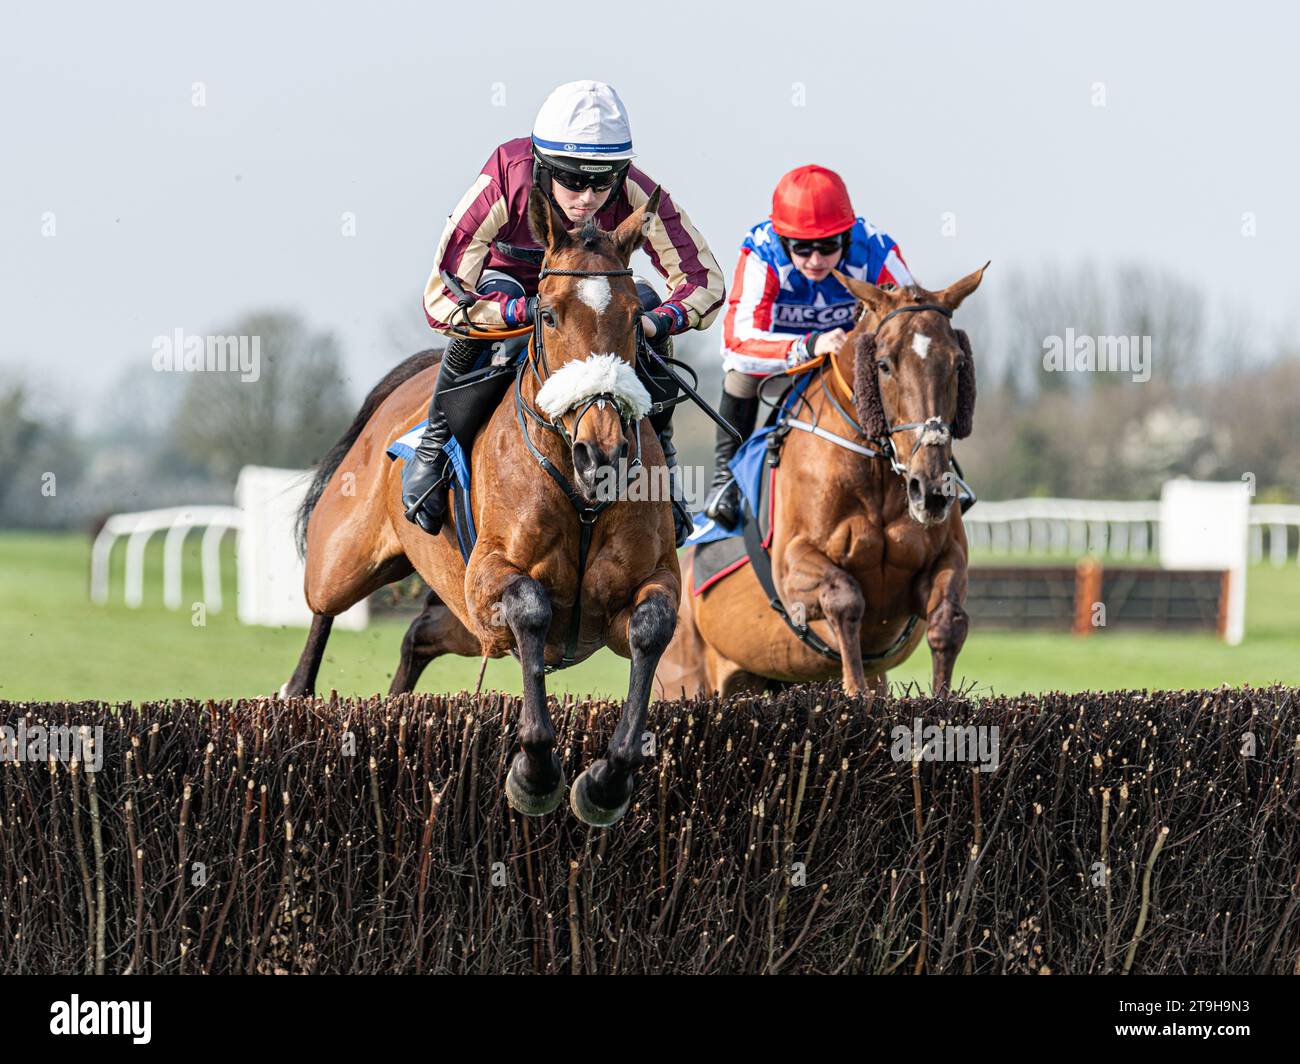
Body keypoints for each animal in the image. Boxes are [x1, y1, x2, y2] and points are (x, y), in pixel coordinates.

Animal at [286, 184, 681, 827]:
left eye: (632, 320)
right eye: (548, 314)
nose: (602, 453)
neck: (580, 495)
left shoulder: (644, 584)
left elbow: (651, 629)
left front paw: (605, 782)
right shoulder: (491, 575)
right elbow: (531, 607)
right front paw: (536, 772)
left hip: (465, 620)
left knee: (417, 635)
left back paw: (395, 711)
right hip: (349, 559)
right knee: (322, 610)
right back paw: (296, 694)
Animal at [655, 262, 987, 702]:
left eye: (958, 364)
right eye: (884, 364)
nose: (930, 490)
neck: (878, 474)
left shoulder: (946, 559)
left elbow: (947, 620)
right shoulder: (794, 565)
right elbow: (845, 599)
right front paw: (854, 692)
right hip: (683, 680)